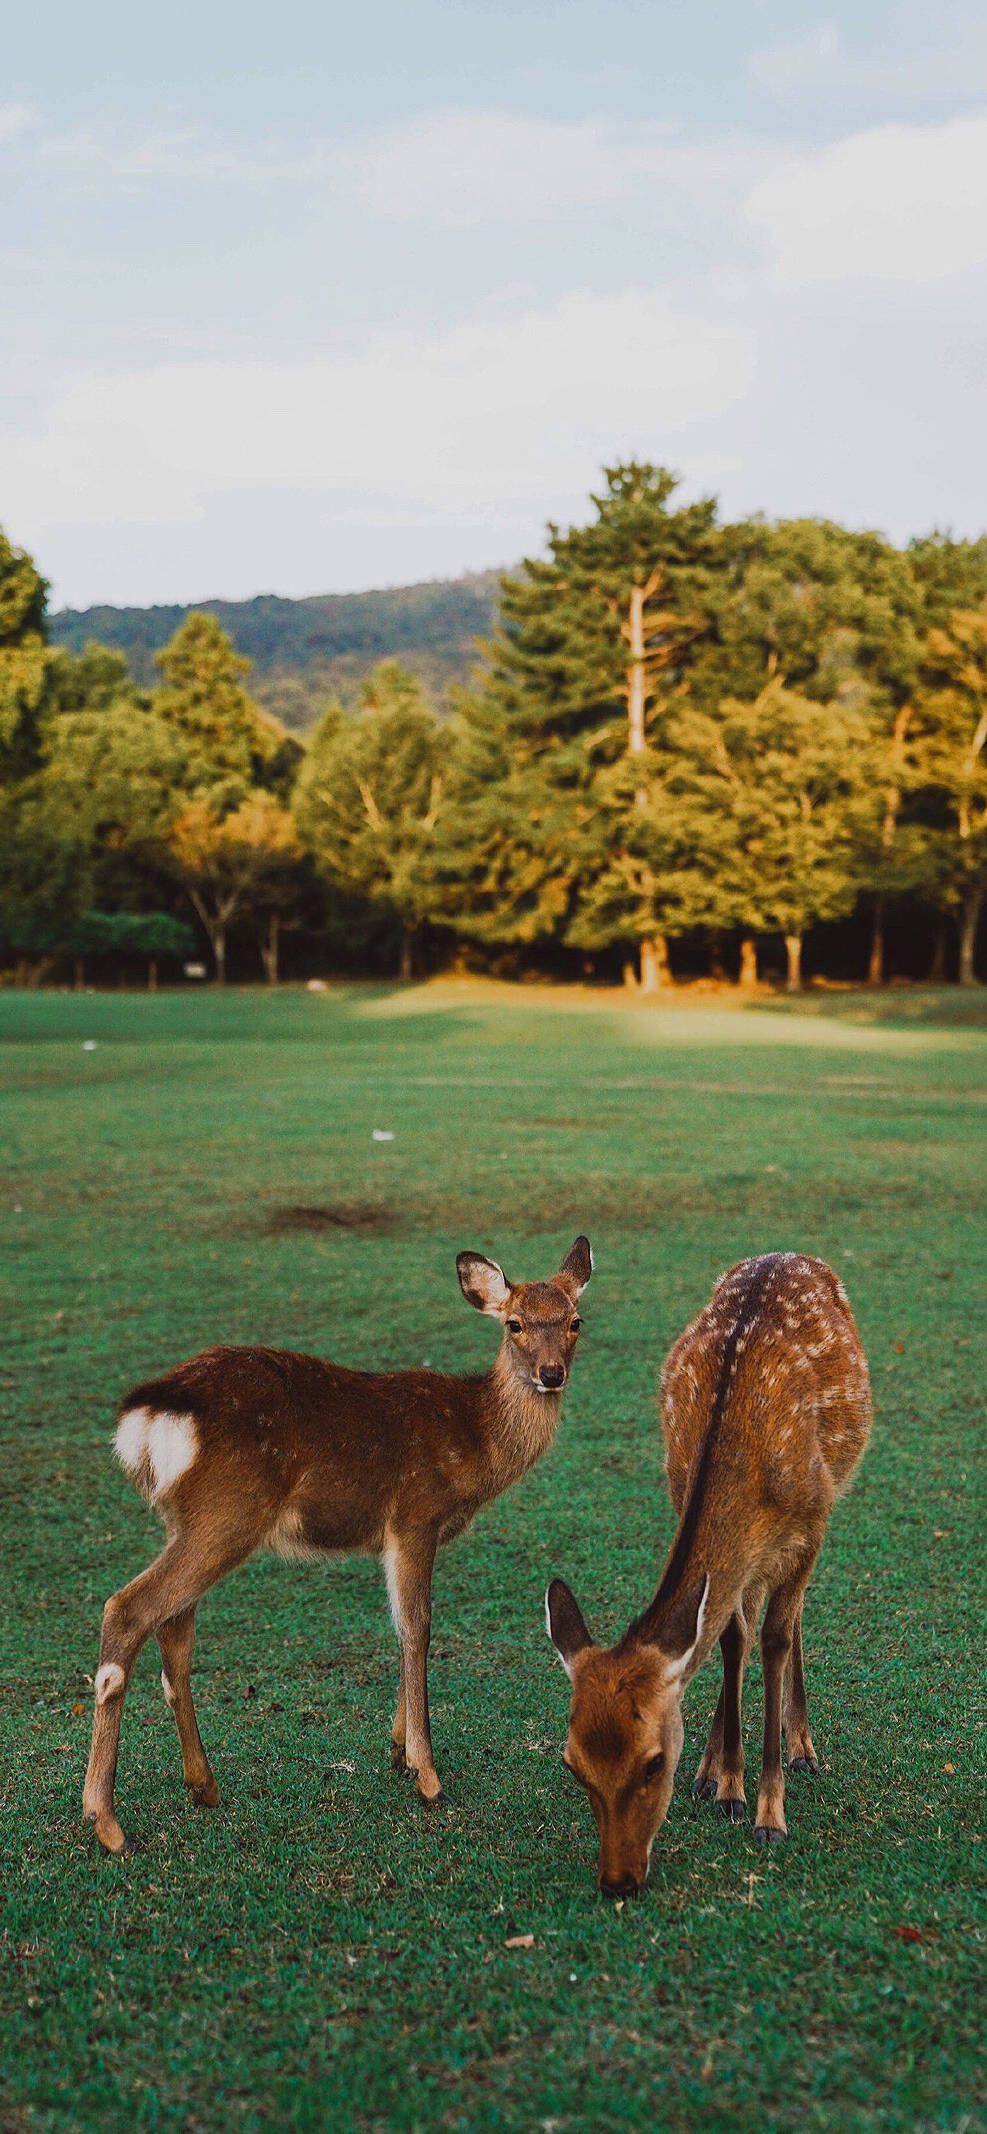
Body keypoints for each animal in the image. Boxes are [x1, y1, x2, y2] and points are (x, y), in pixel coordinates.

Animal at [85, 1237, 592, 1852]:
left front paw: (397, 1750)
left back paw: (203, 1786)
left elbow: (406, 1626)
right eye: (514, 1323)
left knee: (173, 1632)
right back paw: (106, 1821)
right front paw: (427, 1774)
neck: (474, 1443)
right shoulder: (414, 1516)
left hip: (186, 1521)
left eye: (575, 1321)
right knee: (128, 1607)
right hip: (228, 1513)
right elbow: (418, 1626)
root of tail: (149, 1415)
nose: (551, 1373)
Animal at [549, 1246, 874, 1903]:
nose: (617, 1881)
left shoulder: (810, 1521)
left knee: (791, 1620)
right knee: (741, 1621)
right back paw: (712, 1767)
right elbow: (729, 1635)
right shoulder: (695, 1506)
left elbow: (774, 1640)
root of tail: (791, 1252)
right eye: (572, 1764)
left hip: (825, 1502)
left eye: (652, 1762)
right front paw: (726, 1783)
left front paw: (769, 1813)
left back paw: (803, 1748)